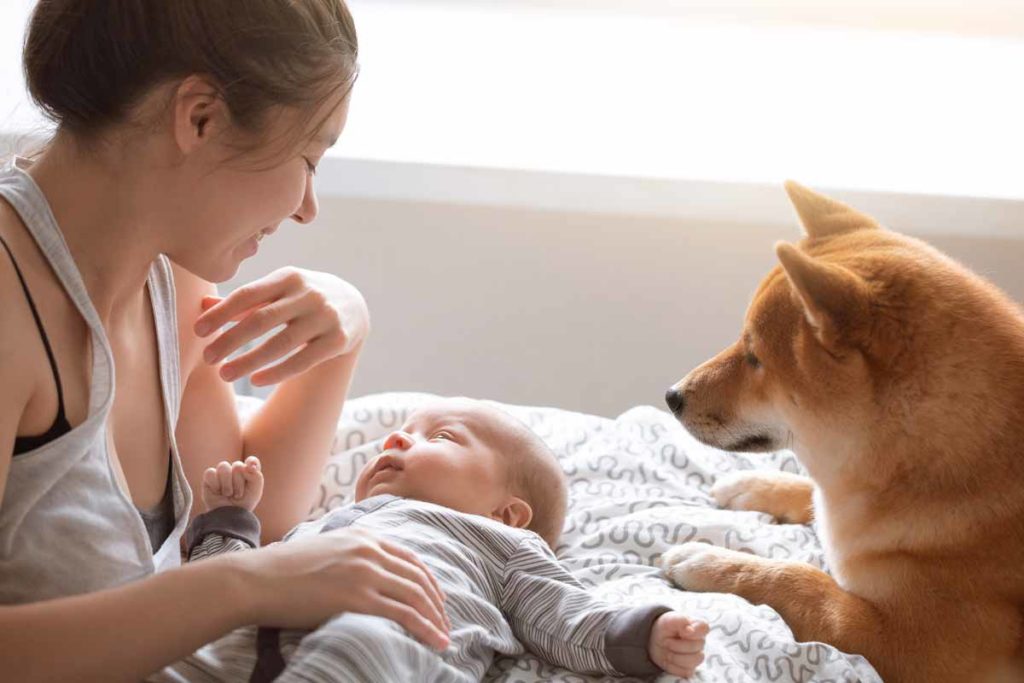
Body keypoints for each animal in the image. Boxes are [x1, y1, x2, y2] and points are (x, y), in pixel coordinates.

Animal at [659, 184, 1019, 679]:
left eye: (754, 356)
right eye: (743, 342)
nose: (671, 395)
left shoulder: (913, 647)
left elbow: (802, 580)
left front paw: (714, 561)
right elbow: (806, 492)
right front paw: (752, 485)